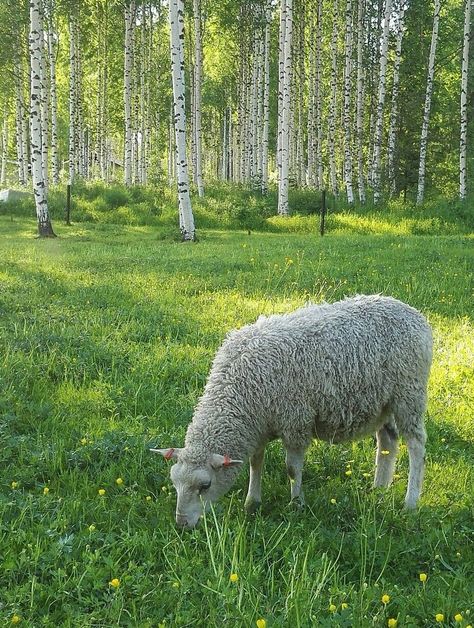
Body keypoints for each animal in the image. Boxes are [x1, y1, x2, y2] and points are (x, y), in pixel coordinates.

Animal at [153, 296, 434, 528]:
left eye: (205, 485)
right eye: (174, 483)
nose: (181, 524)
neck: (240, 390)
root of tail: (414, 314)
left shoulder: (295, 421)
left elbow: (291, 468)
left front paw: (296, 503)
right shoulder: (260, 425)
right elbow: (256, 463)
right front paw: (252, 502)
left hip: (409, 393)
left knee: (416, 445)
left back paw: (410, 502)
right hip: (384, 403)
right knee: (388, 441)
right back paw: (379, 490)